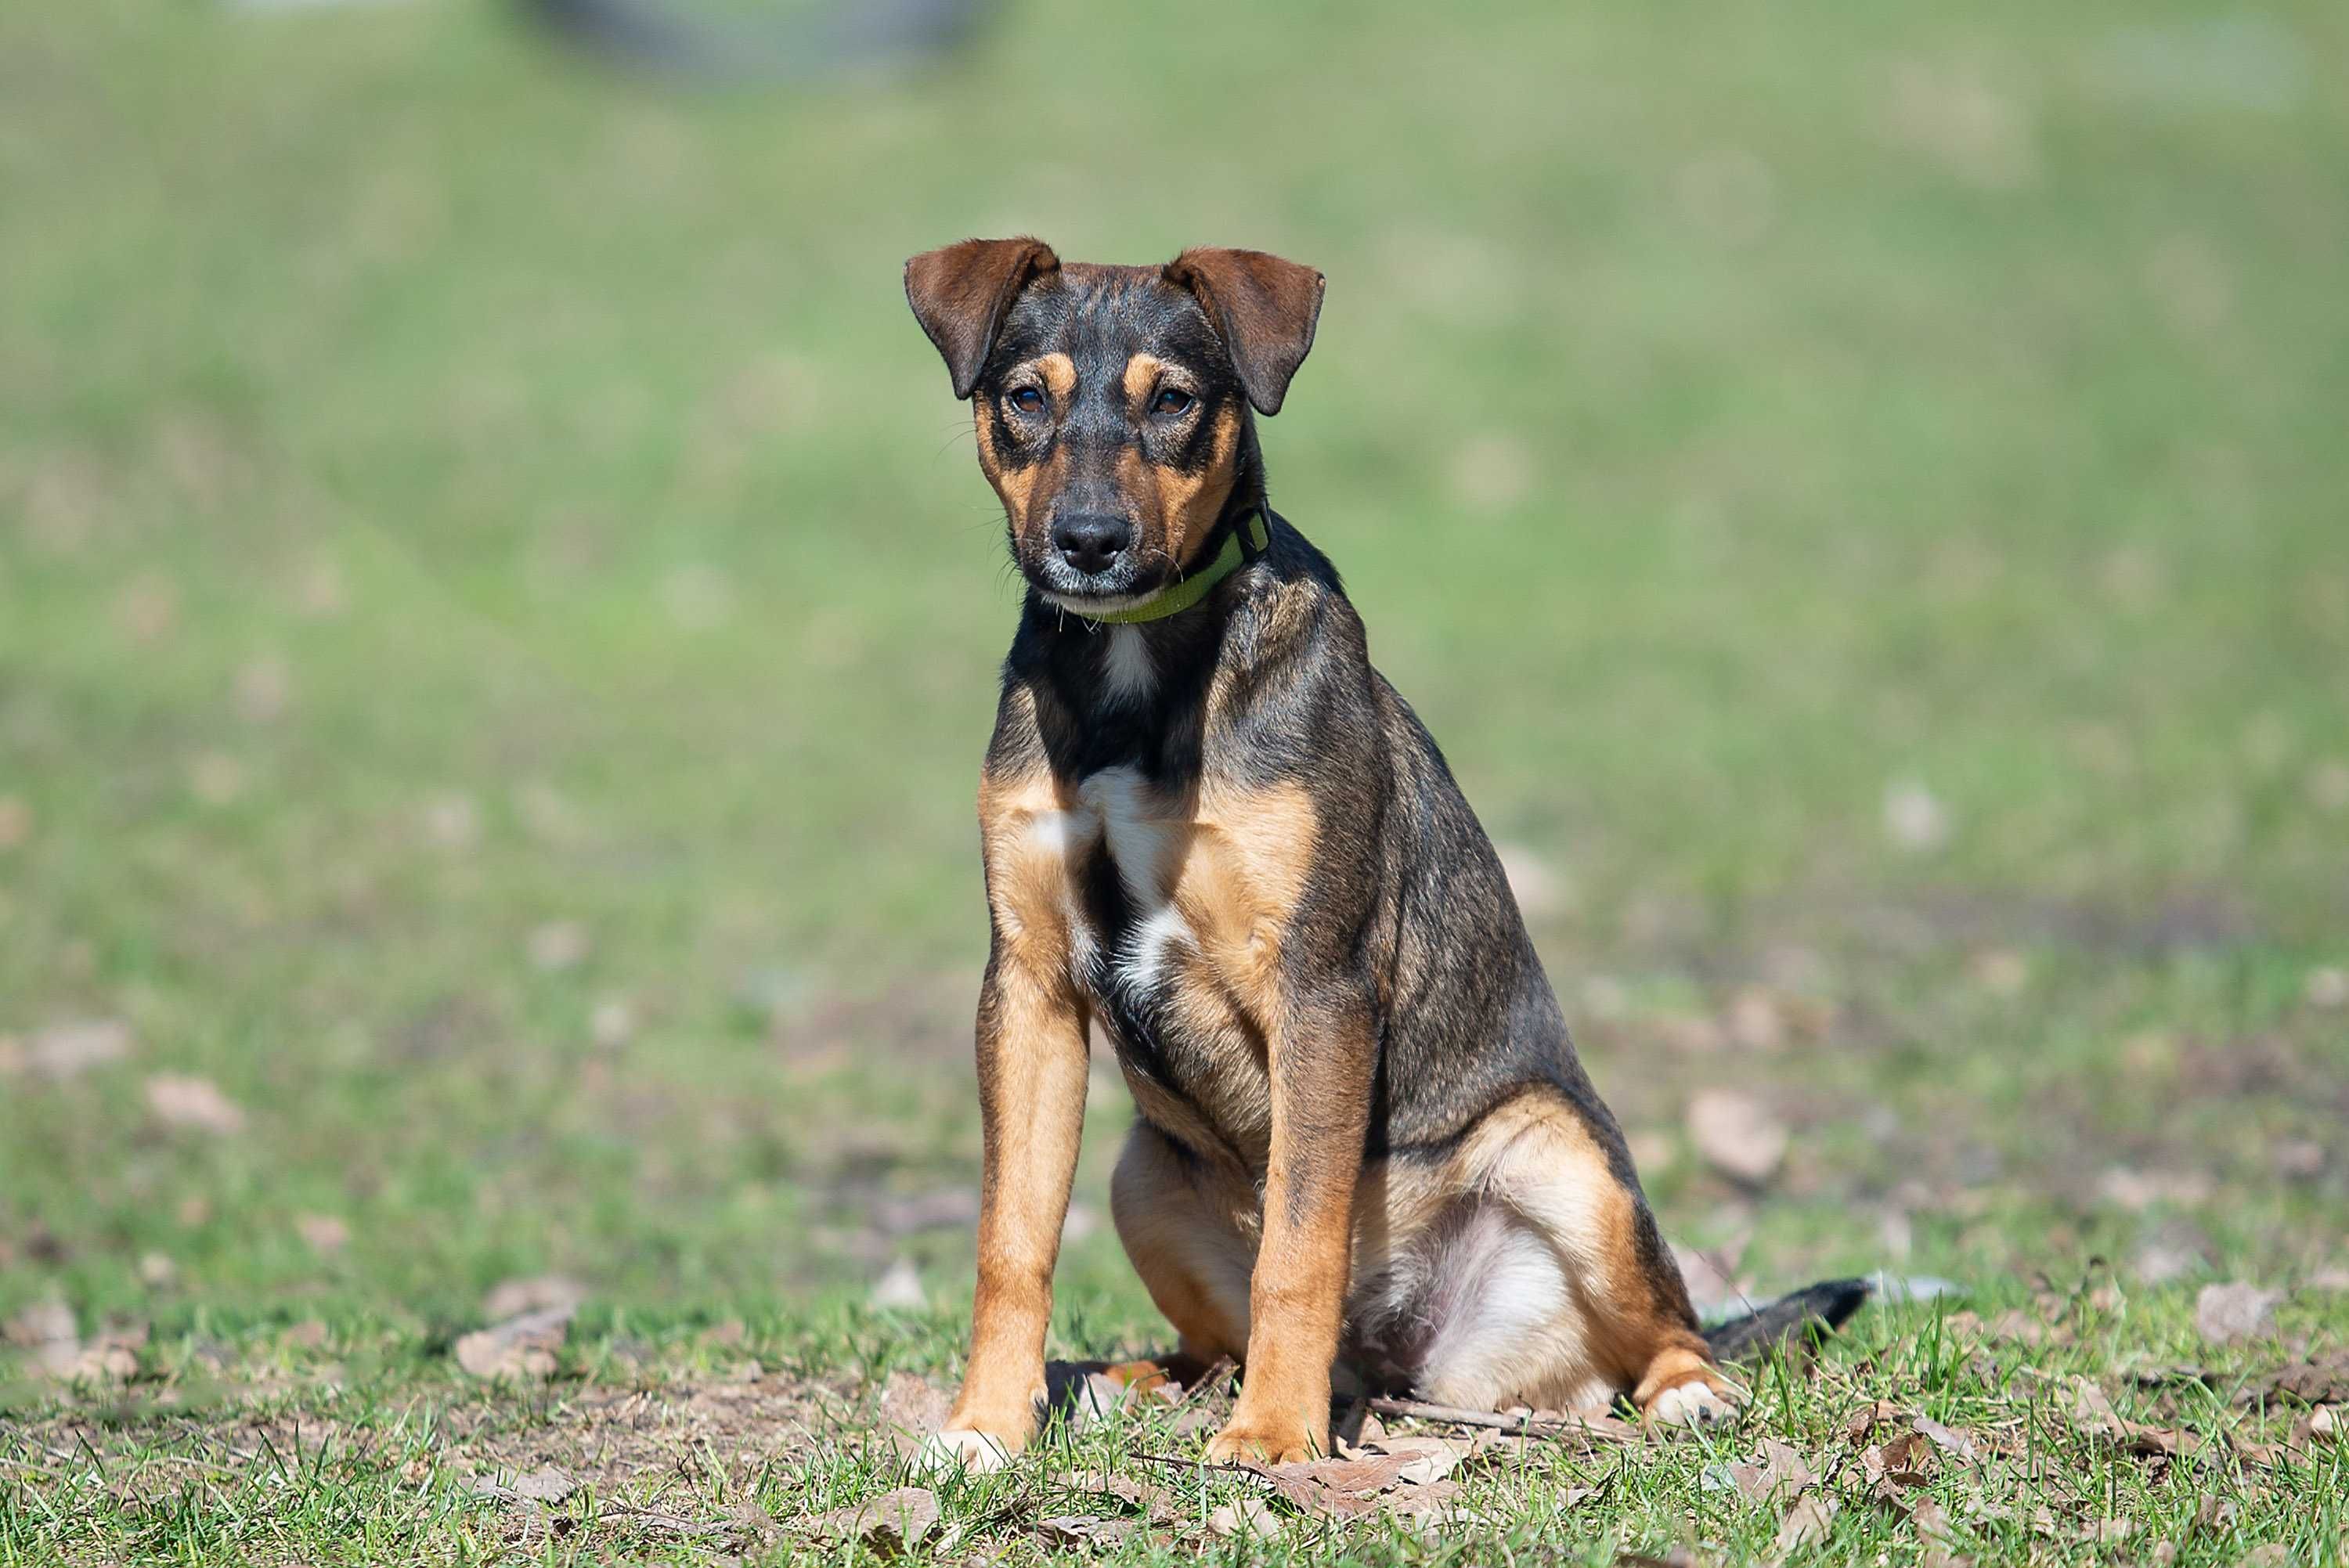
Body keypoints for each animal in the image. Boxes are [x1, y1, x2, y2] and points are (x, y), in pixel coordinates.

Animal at [907, 236, 1860, 1474]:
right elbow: (1010, 1239)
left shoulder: (1321, 981)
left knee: (1674, 1325)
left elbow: (1299, 1244)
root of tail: (1401, 1353)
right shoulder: (1027, 983)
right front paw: (984, 1424)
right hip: (1140, 1172)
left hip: (1565, 1158)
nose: (1088, 543)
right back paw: (1141, 1381)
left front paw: (1273, 1437)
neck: (1141, 680)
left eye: (1174, 401)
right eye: (1026, 398)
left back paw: (1686, 1393)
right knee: (1206, 1336)